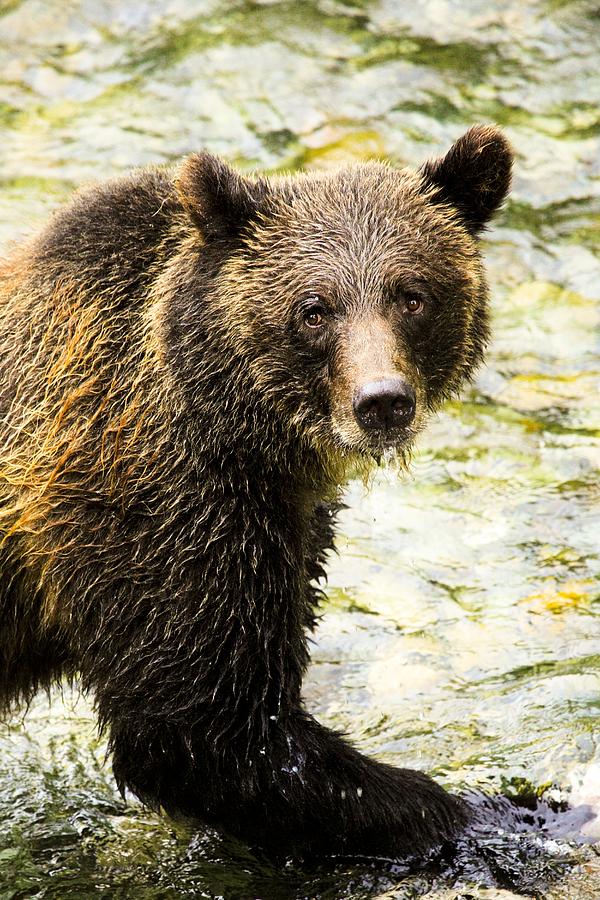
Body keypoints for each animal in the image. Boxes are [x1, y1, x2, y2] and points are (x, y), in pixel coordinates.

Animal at [1, 125, 510, 856]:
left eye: (412, 296)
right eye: (314, 310)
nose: (382, 402)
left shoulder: (284, 516)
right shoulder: (157, 499)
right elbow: (212, 731)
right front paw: (477, 811)